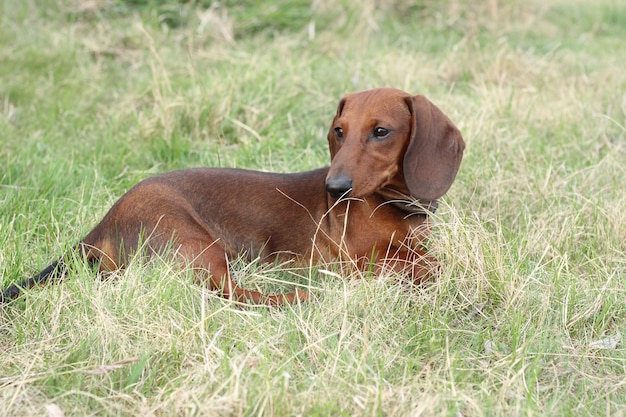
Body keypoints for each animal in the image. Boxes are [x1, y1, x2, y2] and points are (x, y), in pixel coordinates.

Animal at [1, 87, 464, 306]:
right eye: (339, 131)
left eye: (381, 131)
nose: (334, 189)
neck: (393, 204)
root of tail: (101, 226)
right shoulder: (364, 262)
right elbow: (425, 266)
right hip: (195, 243)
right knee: (230, 294)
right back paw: (301, 297)